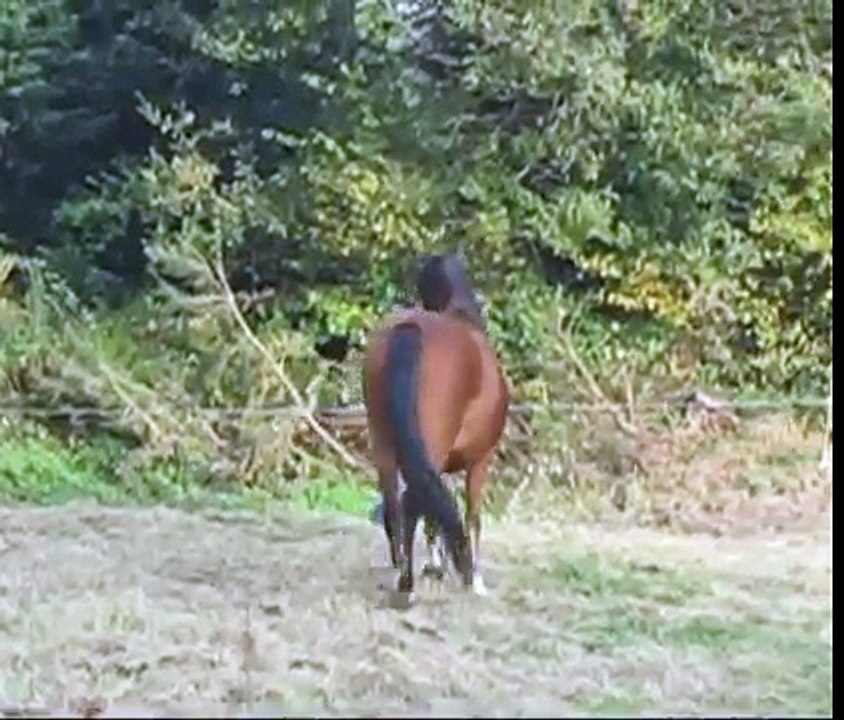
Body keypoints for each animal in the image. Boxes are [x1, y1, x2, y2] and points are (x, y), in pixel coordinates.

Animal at [362, 253, 510, 599]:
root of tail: (411, 328)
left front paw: (436, 565)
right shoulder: (480, 461)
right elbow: (472, 514)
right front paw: (473, 577)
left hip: (384, 442)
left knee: (395, 504)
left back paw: (401, 572)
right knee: (411, 503)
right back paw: (407, 584)